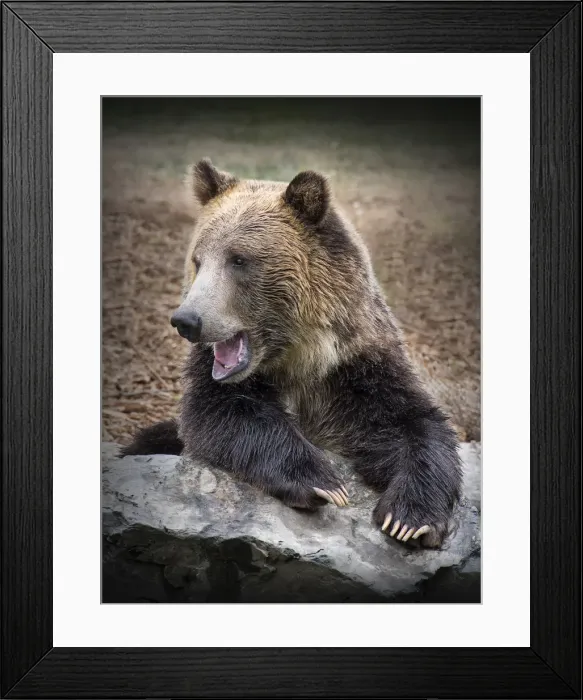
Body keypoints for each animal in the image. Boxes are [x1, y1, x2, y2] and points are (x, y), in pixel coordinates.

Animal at [122, 158, 463, 548]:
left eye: (238, 260)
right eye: (197, 260)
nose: (187, 320)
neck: (299, 358)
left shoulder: (357, 369)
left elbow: (412, 423)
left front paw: (410, 518)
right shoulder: (218, 377)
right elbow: (219, 413)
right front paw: (321, 481)